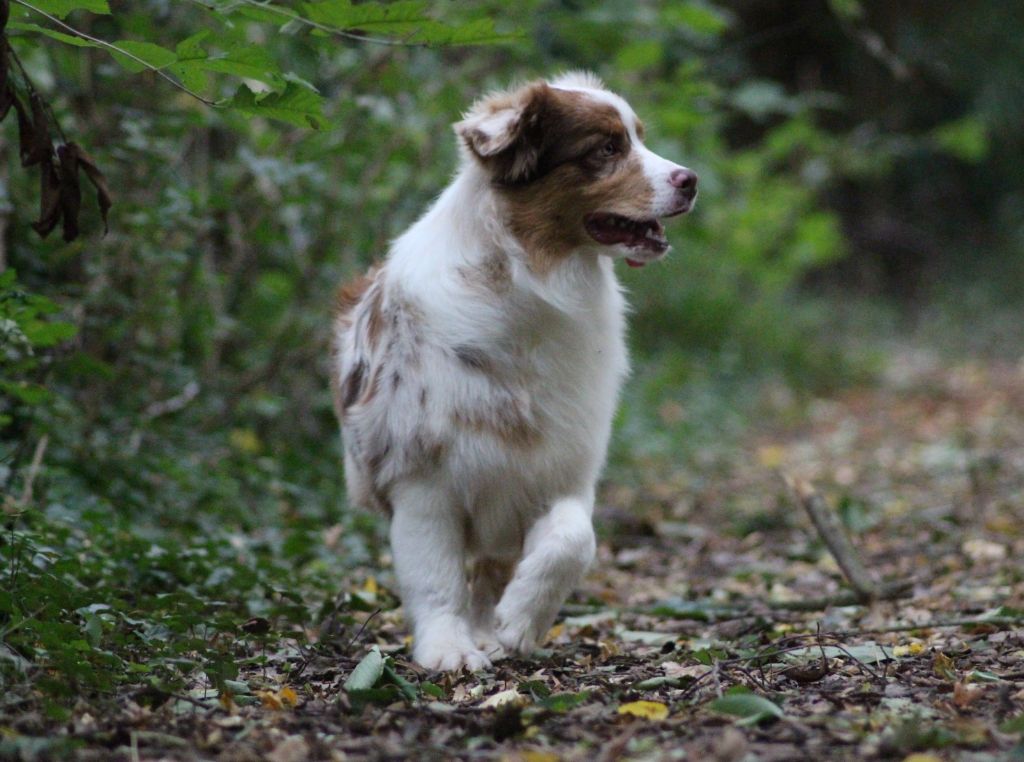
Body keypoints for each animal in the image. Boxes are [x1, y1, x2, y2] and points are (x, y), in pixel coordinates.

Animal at [331, 70, 700, 667]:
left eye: (638, 138)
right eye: (606, 149)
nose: (691, 181)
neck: (522, 280)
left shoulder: (557, 466)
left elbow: (575, 540)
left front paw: (520, 622)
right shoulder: (421, 479)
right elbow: (436, 578)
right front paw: (448, 650)